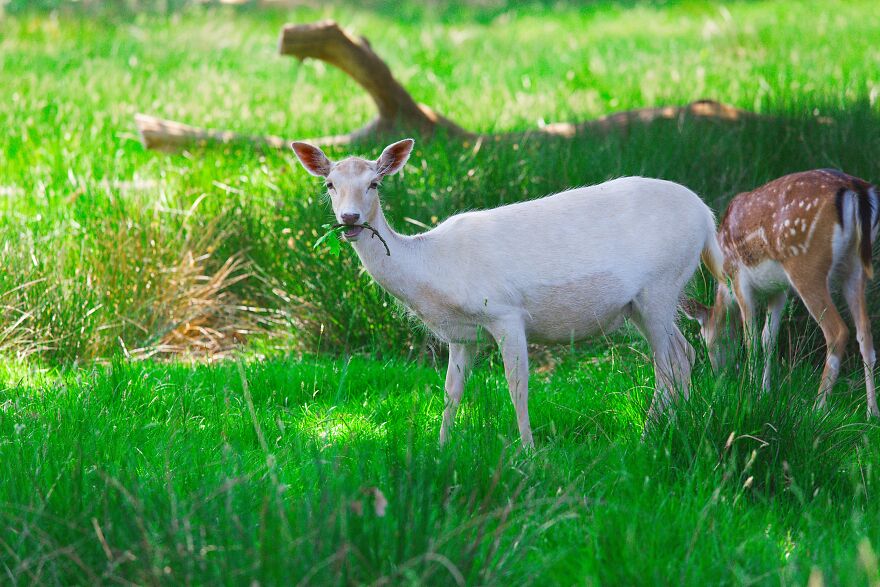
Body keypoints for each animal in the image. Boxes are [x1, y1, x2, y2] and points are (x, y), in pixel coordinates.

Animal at [292, 138, 725, 448]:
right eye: (329, 184)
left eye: (375, 183)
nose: (350, 218)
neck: (432, 267)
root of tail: (707, 218)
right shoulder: (462, 335)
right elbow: (451, 391)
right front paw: (441, 447)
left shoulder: (506, 312)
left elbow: (517, 386)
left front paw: (529, 452)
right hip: (642, 301)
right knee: (684, 354)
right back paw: (677, 425)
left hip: (660, 284)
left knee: (670, 361)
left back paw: (649, 436)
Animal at [682, 169, 880, 417]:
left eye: (705, 339)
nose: (719, 375)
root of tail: (854, 188)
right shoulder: (779, 290)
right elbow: (768, 338)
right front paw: (765, 392)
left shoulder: (740, 280)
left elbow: (751, 339)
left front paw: (750, 394)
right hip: (855, 267)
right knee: (865, 334)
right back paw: (872, 412)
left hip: (806, 265)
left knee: (838, 331)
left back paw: (817, 409)